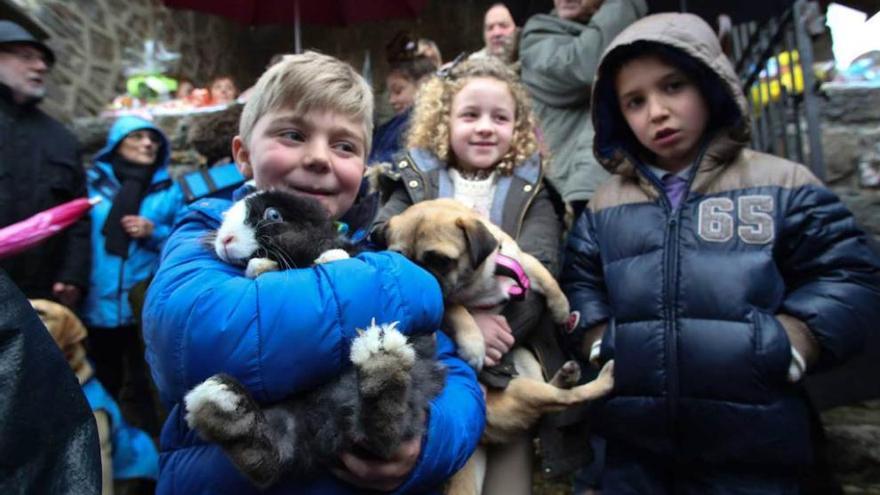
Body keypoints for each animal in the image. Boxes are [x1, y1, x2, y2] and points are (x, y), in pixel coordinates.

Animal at [382, 199, 616, 495]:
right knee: (565, 398)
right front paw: (475, 345)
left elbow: (545, 276)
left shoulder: (521, 261)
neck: (480, 282)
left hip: (526, 363)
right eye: (397, 258)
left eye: (441, 261)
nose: (415, 274)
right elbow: (458, 310)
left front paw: (562, 309)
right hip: (521, 391)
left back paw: (568, 375)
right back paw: (600, 378)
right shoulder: (448, 302)